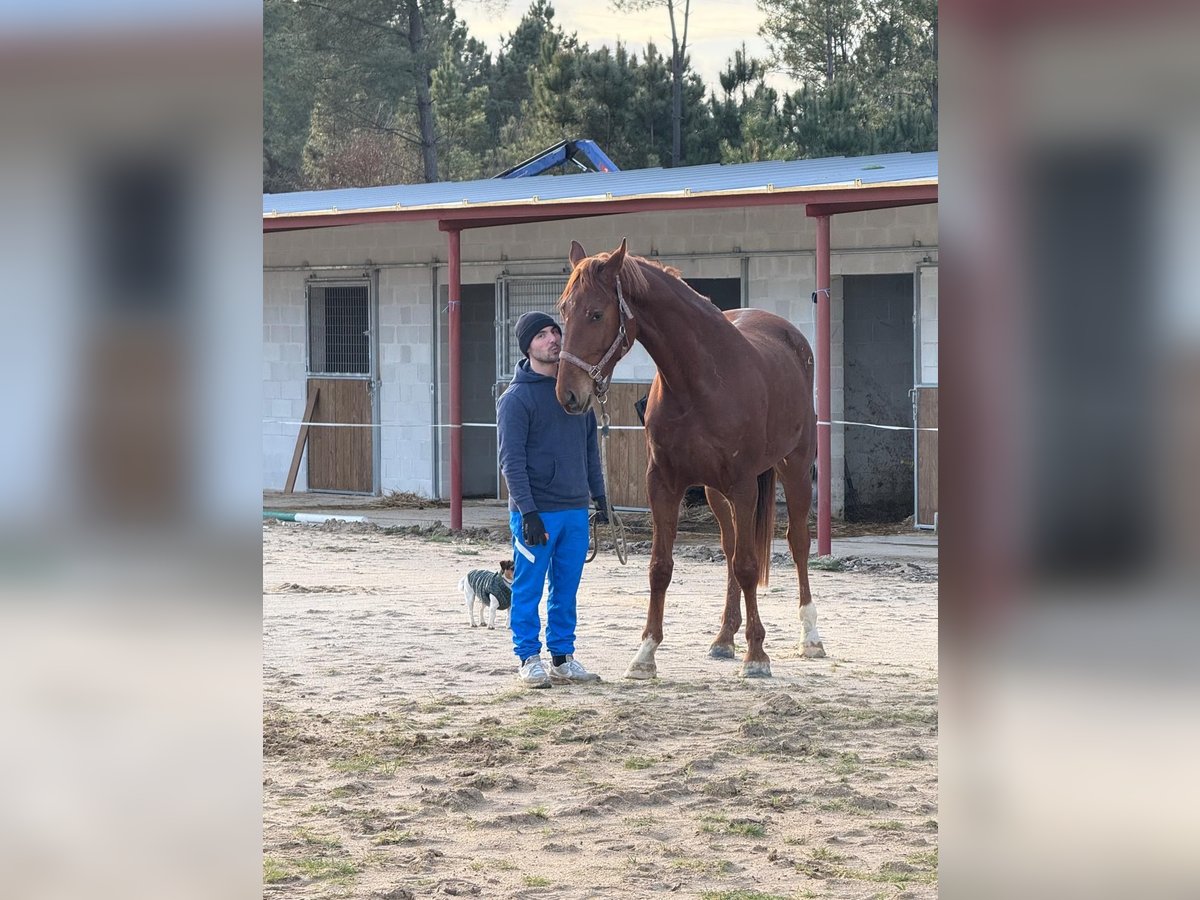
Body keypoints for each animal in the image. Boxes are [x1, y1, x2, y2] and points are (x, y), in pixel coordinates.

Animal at [554, 237, 825, 676]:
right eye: (563, 309)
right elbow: (661, 568)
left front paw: (757, 655)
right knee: (731, 548)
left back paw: (810, 637)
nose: (568, 395)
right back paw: (724, 638)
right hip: (716, 493)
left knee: (797, 543)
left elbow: (749, 565)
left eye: (596, 313)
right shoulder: (663, 484)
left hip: (795, 468)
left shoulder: (744, 484)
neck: (701, 380)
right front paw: (645, 653)